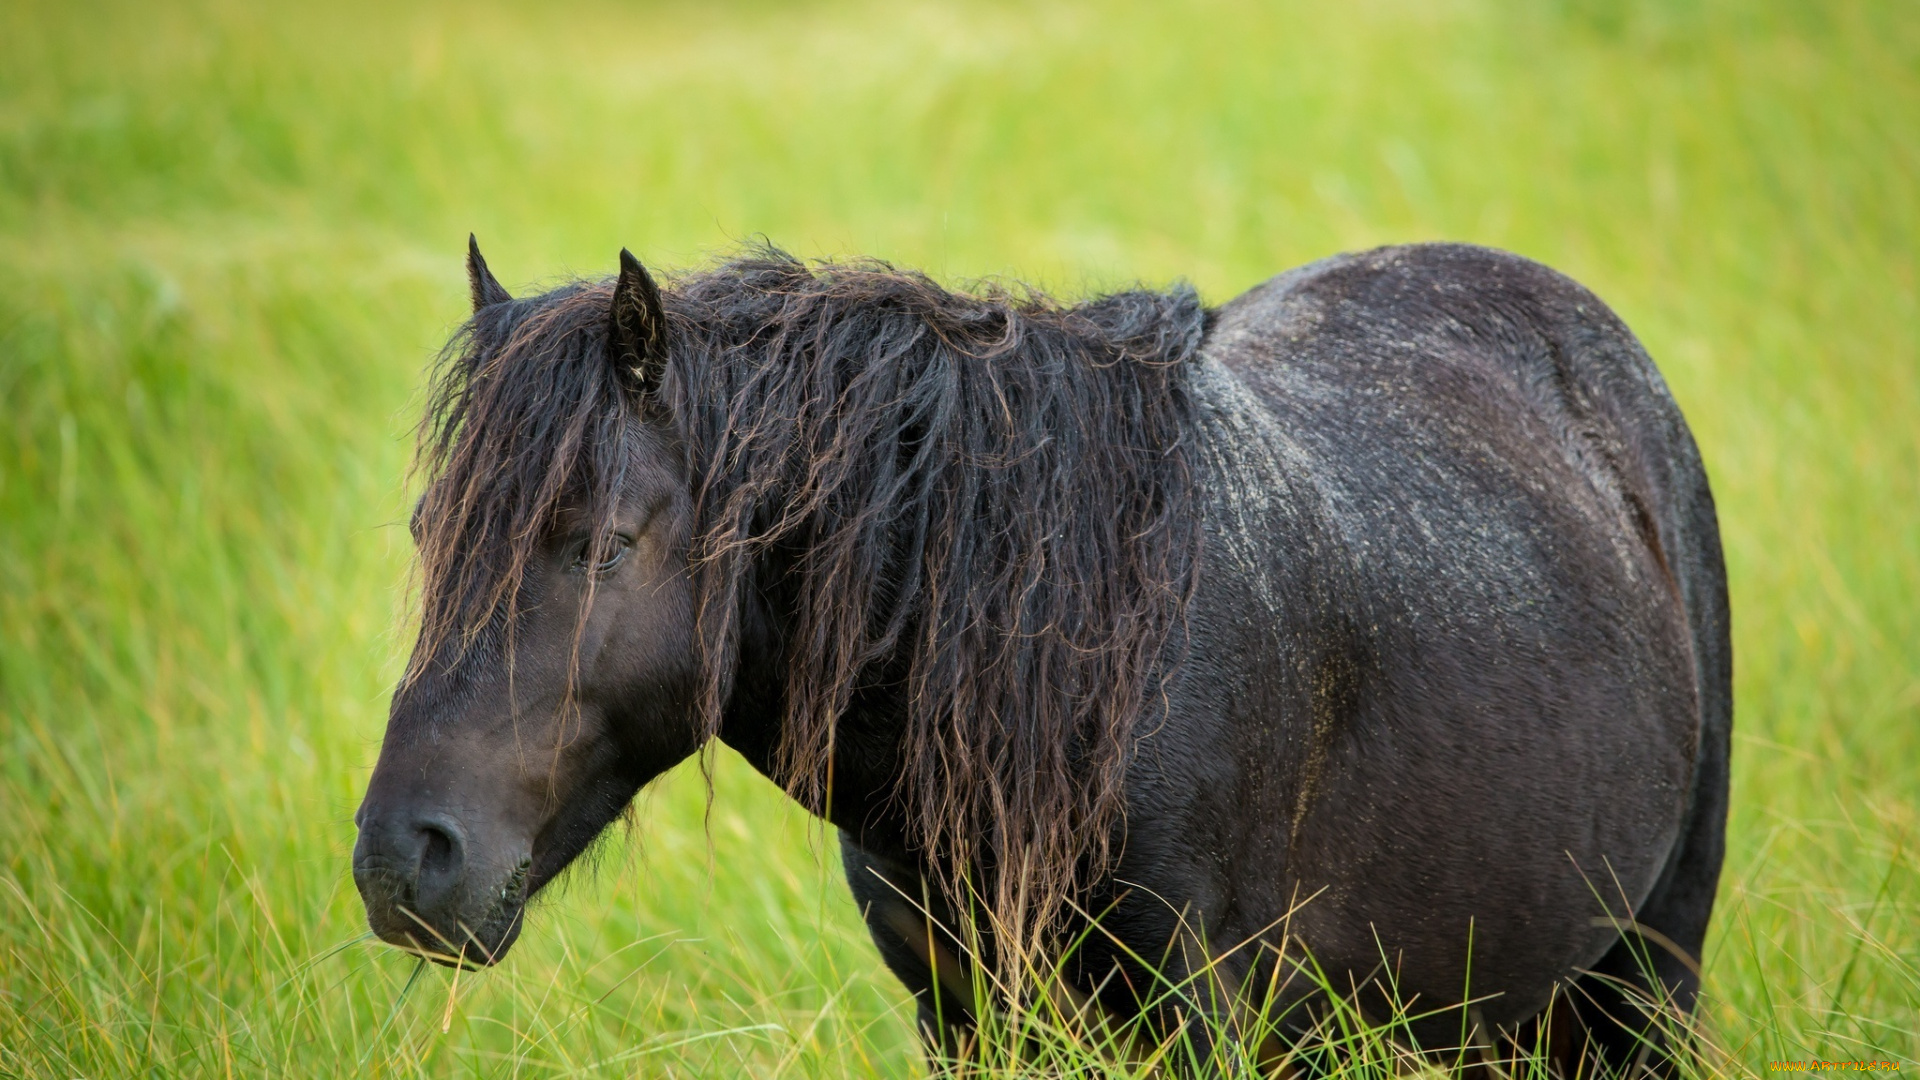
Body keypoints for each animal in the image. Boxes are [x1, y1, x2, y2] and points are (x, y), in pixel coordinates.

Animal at [353, 235, 1735, 1068]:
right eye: (426, 532)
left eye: (599, 546)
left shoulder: (1197, 1007)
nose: (401, 862)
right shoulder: (956, 1010)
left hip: (1649, 970)